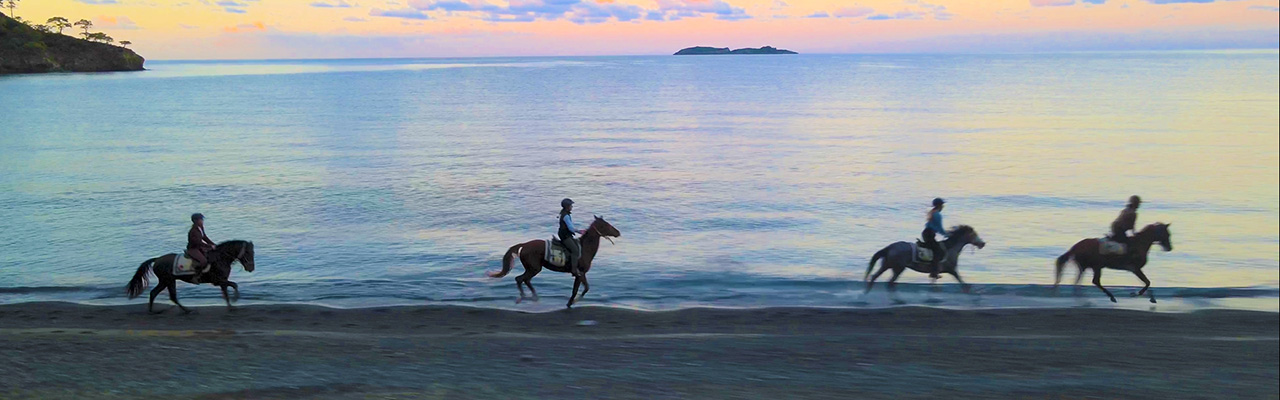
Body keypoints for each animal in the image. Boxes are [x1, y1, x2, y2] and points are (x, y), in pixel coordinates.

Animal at [124, 241, 254, 312]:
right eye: (248, 252)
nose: (251, 268)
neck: (221, 257)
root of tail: (157, 259)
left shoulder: (223, 281)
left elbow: (227, 293)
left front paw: (231, 306)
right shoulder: (219, 281)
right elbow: (234, 285)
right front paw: (235, 299)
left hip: (166, 281)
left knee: (156, 293)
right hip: (168, 280)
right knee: (169, 296)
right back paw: (186, 310)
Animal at [488, 216, 619, 307]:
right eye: (606, 225)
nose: (618, 232)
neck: (584, 248)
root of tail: (524, 245)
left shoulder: (582, 274)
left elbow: (584, 288)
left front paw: (573, 301)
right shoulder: (579, 273)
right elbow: (579, 289)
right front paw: (572, 302)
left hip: (532, 268)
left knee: (525, 280)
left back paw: (534, 296)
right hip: (534, 268)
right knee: (520, 279)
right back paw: (524, 297)